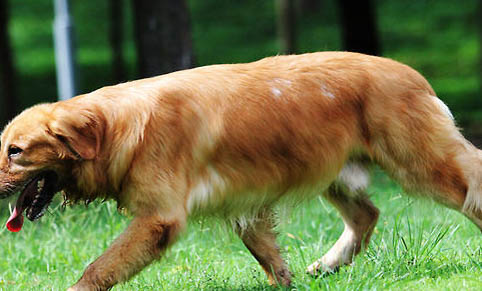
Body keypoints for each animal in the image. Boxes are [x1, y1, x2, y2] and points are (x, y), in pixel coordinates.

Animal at [0, 52, 482, 290]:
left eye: (15, 152)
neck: (115, 128)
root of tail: (413, 74)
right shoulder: (244, 204)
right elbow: (268, 256)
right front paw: (286, 283)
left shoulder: (160, 218)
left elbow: (100, 267)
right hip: (333, 170)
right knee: (367, 215)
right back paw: (327, 264)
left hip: (421, 163)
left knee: (469, 185)